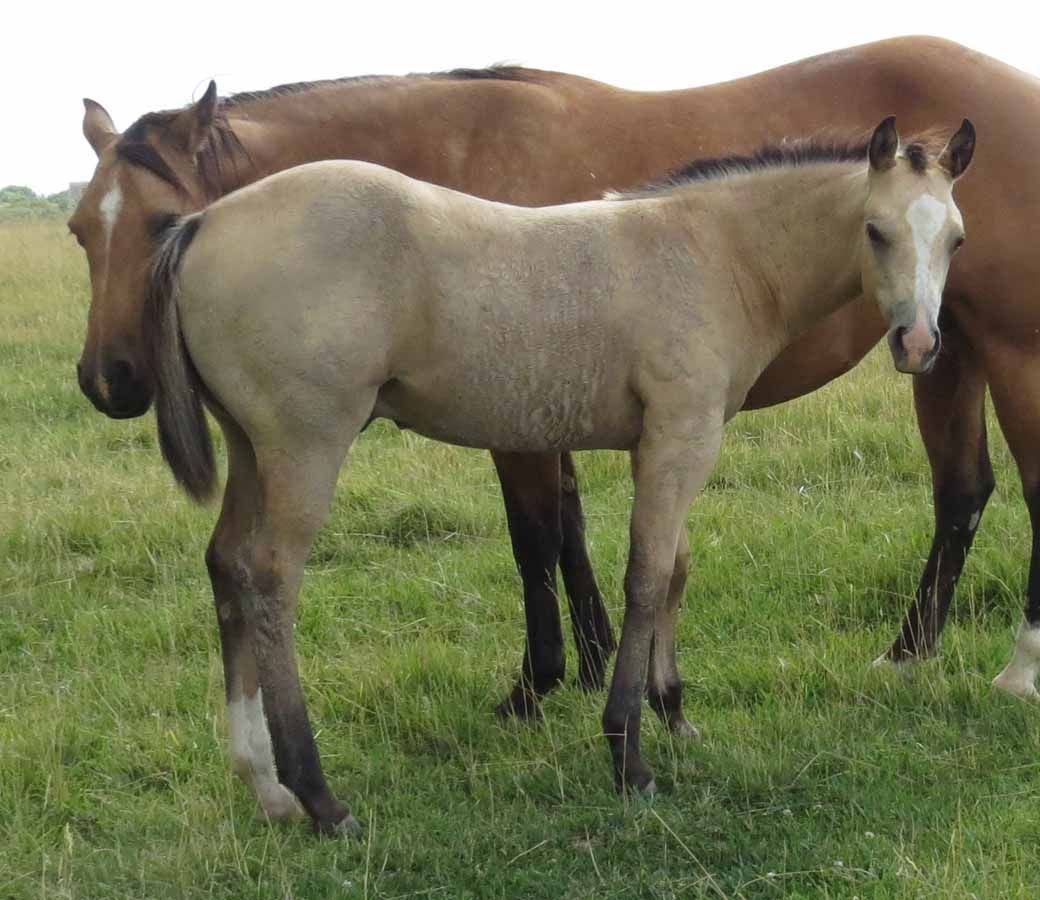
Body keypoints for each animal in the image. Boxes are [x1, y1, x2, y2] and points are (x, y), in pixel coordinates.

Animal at [67, 37, 1033, 816]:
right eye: (874, 231)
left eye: (953, 238)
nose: (914, 340)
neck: (708, 247)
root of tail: (207, 225)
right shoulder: (673, 439)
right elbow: (637, 572)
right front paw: (624, 751)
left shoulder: (668, 442)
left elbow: (667, 569)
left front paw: (670, 714)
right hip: (302, 448)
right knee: (267, 578)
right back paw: (316, 795)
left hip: (251, 450)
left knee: (227, 565)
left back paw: (262, 784)